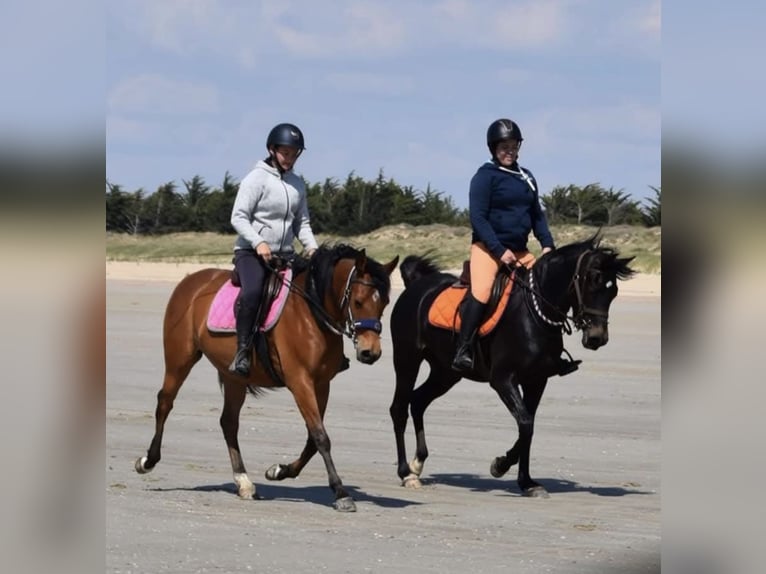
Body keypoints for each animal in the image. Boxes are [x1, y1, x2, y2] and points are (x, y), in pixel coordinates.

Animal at [135, 244, 399, 512]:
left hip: (234, 377)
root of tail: (191, 280)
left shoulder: (322, 384)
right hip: (180, 359)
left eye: (385, 303)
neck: (310, 313)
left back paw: (243, 482)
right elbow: (320, 436)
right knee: (165, 402)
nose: (370, 352)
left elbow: (313, 438)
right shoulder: (300, 381)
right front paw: (341, 492)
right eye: (358, 301)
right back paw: (148, 460)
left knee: (228, 422)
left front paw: (280, 470)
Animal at [388, 233, 635, 497]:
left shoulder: (536, 381)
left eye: (613, 291)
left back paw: (417, 463)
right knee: (399, 409)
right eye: (592, 281)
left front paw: (527, 482)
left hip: (445, 372)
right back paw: (405, 473)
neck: (534, 313)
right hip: (407, 360)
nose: (597, 338)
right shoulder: (503, 380)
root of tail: (416, 286)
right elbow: (525, 425)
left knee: (418, 401)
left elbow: (528, 427)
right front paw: (500, 465)